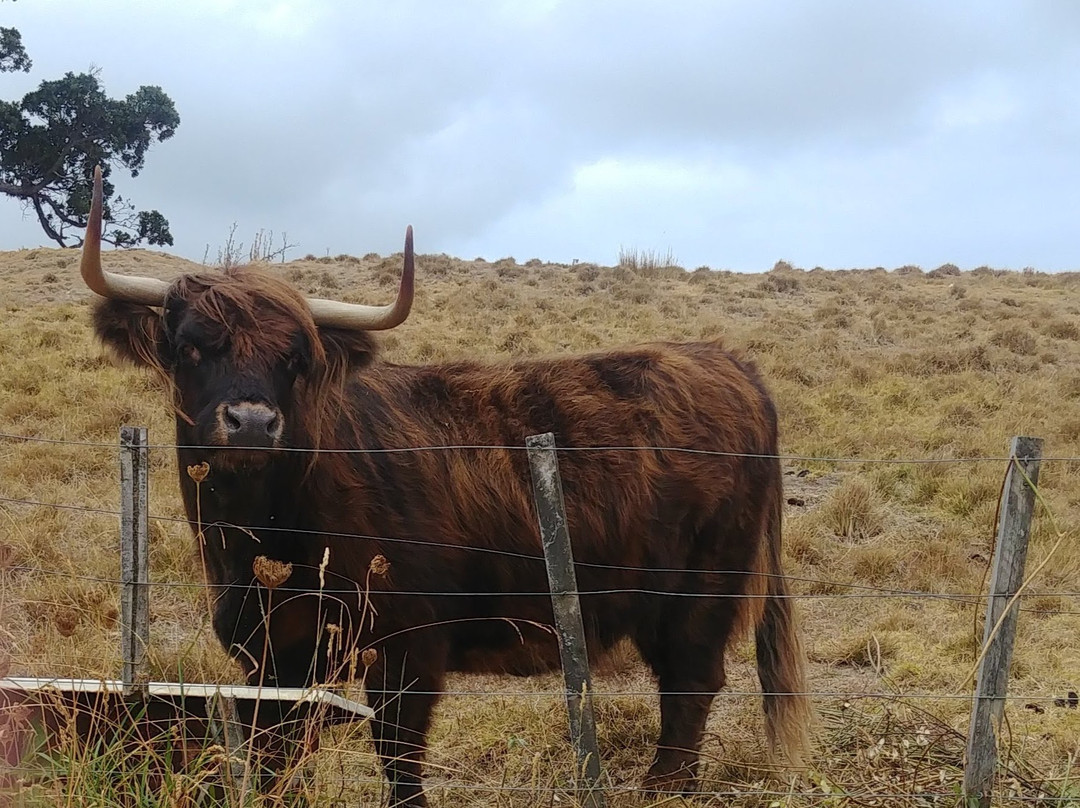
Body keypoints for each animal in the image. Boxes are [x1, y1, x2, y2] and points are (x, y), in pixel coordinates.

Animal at [79, 167, 812, 803]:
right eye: (189, 348)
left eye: (295, 358)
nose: (253, 421)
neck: (263, 535)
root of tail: (727, 359)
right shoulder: (272, 659)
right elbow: (274, 761)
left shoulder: (407, 649)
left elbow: (400, 760)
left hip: (700, 591)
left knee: (689, 684)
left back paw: (663, 790)